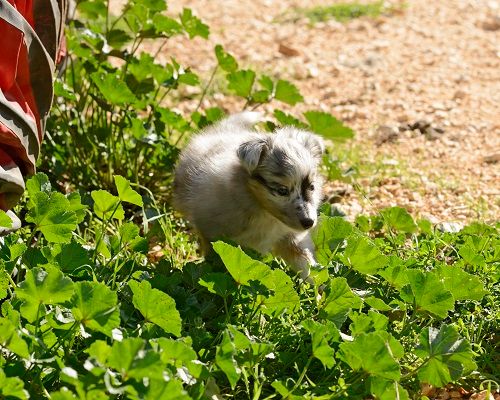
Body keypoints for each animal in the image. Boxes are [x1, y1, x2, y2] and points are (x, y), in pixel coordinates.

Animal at [174, 111, 326, 282]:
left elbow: (307, 266)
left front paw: (318, 287)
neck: (264, 212)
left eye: (312, 187)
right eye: (282, 191)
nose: (309, 222)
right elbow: (220, 260)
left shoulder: (292, 238)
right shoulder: (213, 234)